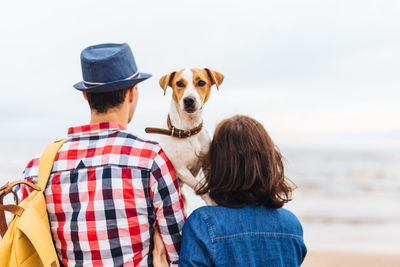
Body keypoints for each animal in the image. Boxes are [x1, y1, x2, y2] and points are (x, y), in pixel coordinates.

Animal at [145, 68, 223, 266]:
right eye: (179, 83)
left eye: (201, 82)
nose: (189, 100)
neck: (188, 131)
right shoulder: (180, 169)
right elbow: (200, 187)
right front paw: (213, 201)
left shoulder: (207, 163)